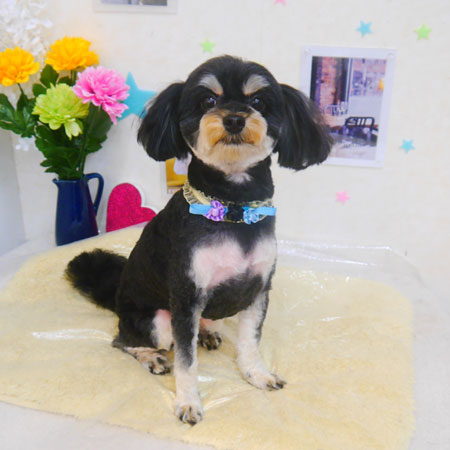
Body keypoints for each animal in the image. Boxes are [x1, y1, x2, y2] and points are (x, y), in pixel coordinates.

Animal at [66, 55, 332, 425]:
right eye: (208, 101)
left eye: (258, 102)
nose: (234, 118)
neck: (233, 206)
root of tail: (117, 298)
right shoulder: (186, 296)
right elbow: (186, 361)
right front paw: (188, 401)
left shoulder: (258, 290)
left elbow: (250, 341)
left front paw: (256, 373)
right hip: (156, 320)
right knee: (125, 340)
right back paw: (151, 356)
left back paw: (207, 332)